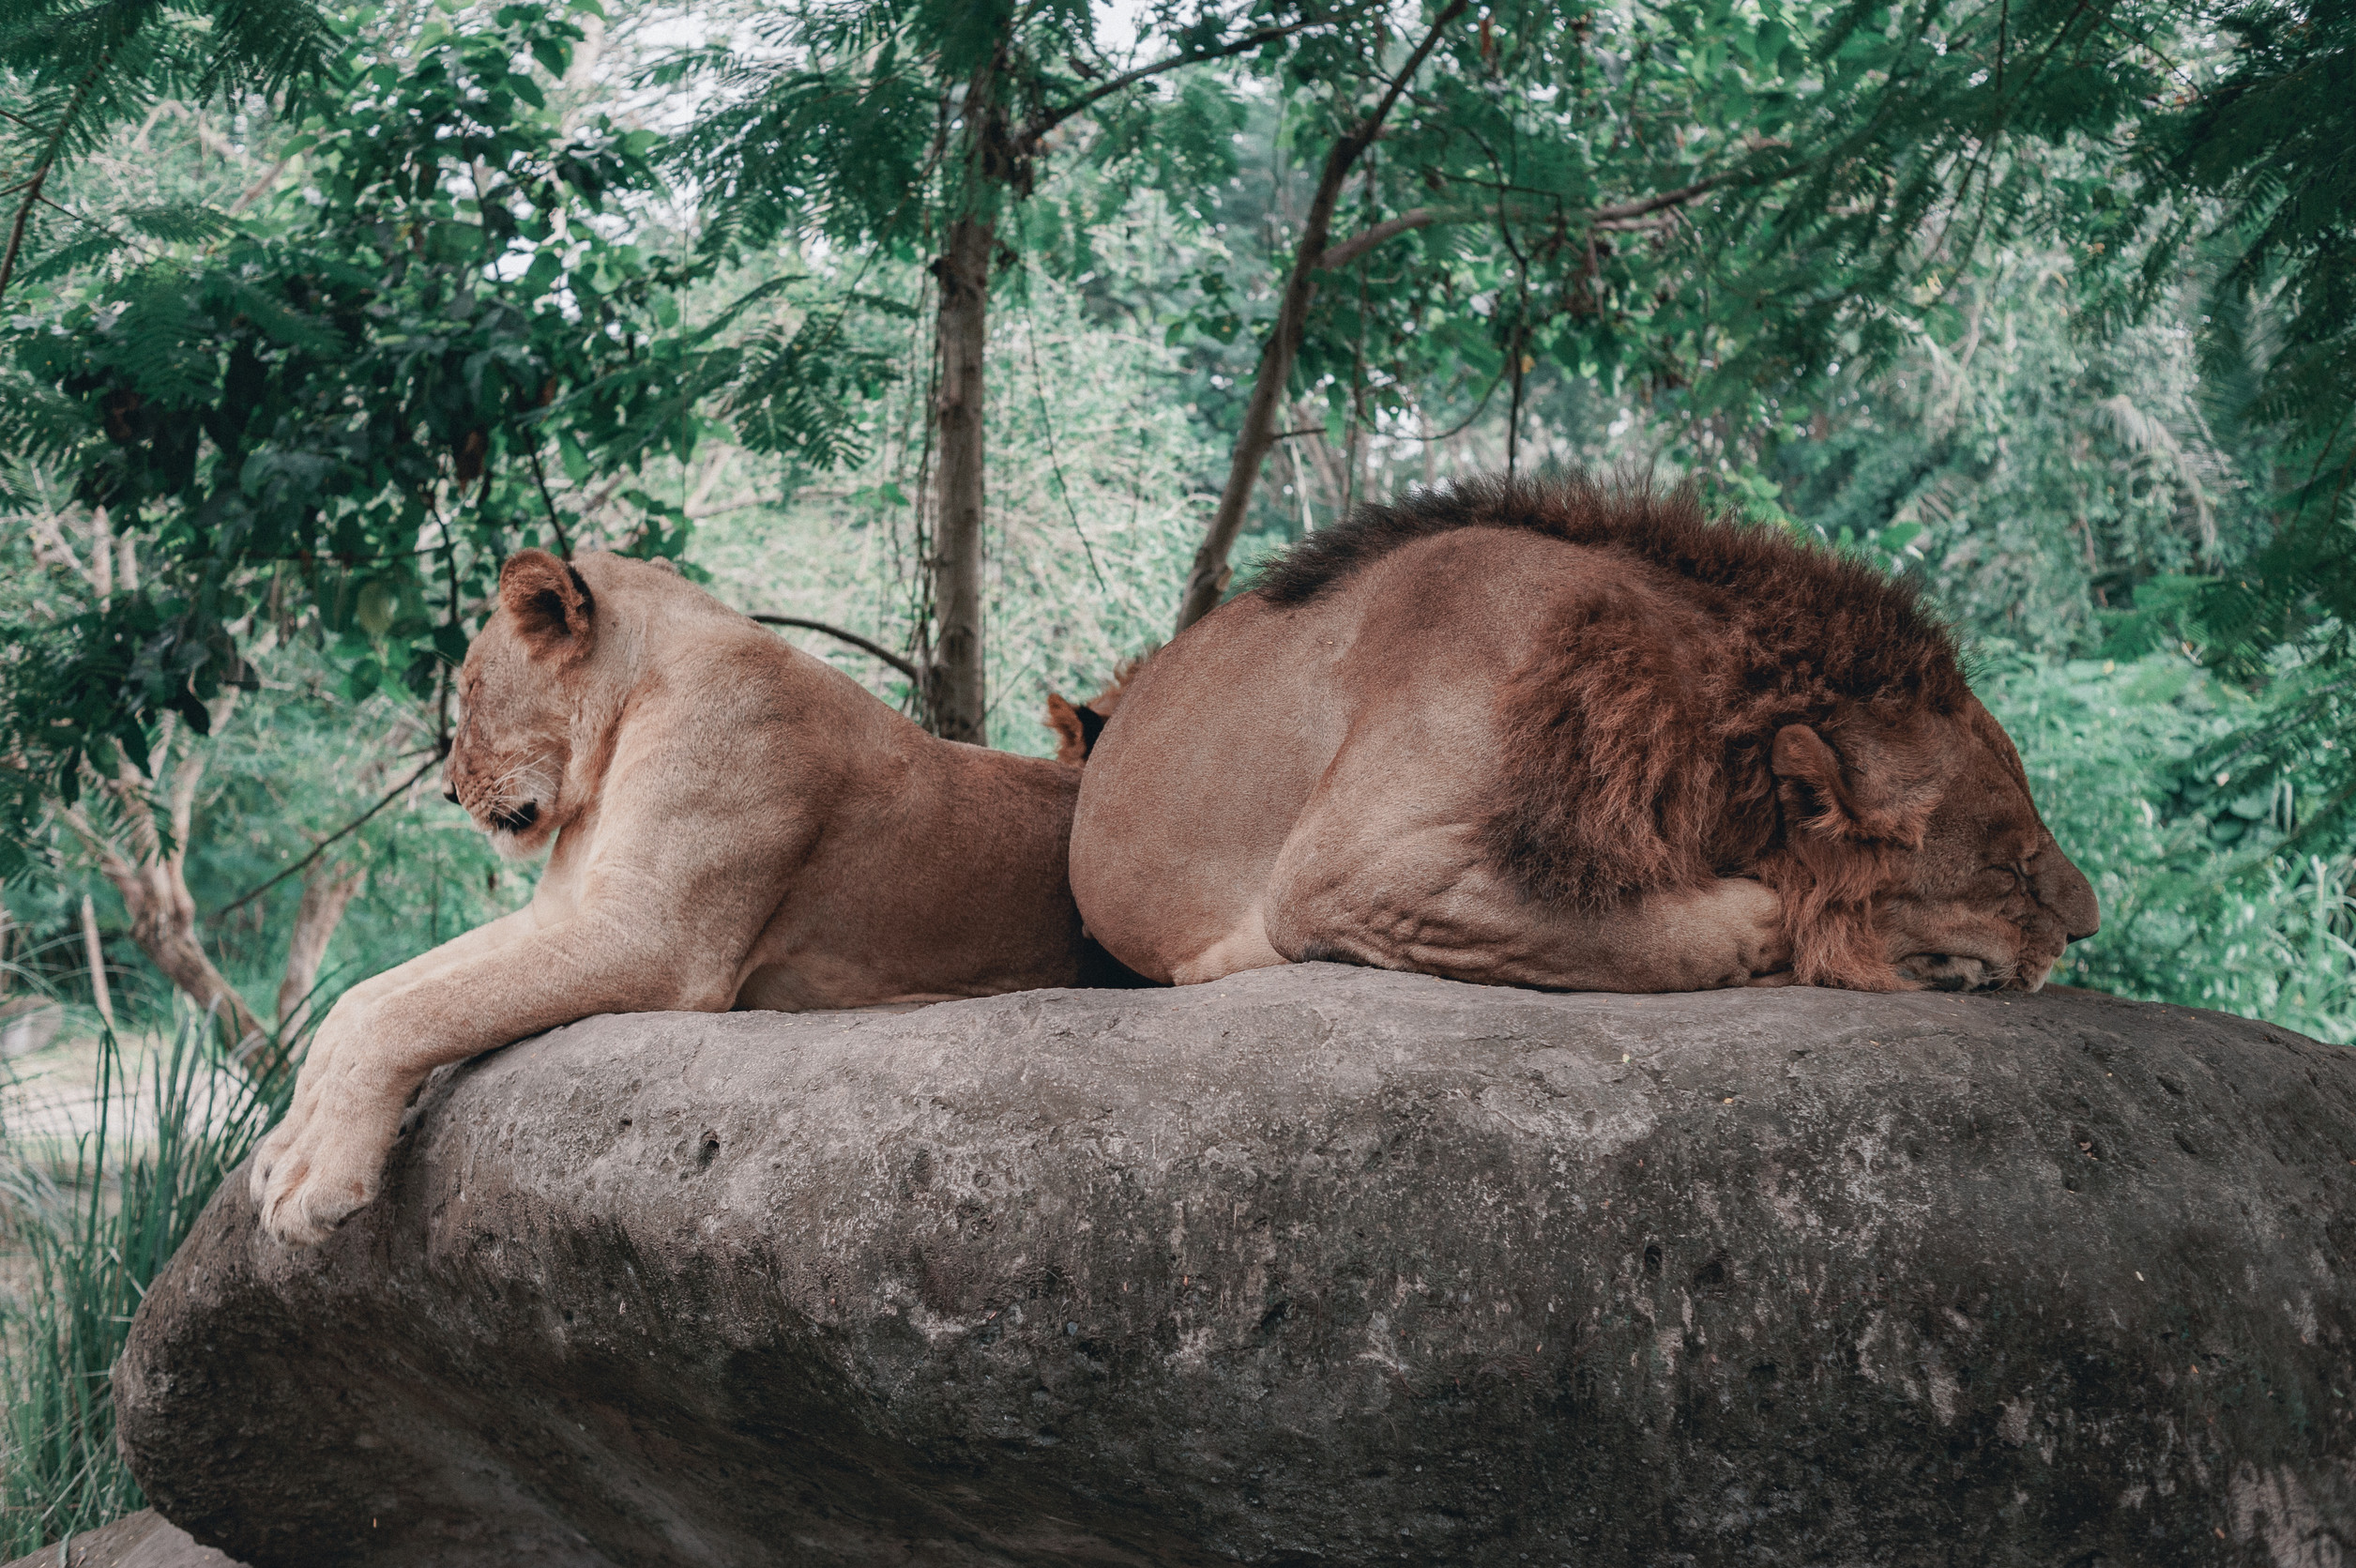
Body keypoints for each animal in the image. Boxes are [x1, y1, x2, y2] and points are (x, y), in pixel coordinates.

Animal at [257, 549, 1102, 1244]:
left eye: (468, 688)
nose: (445, 789)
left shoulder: (655, 938)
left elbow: (410, 1013)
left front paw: (314, 1181)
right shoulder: (560, 913)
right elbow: (361, 1001)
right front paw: (283, 1148)